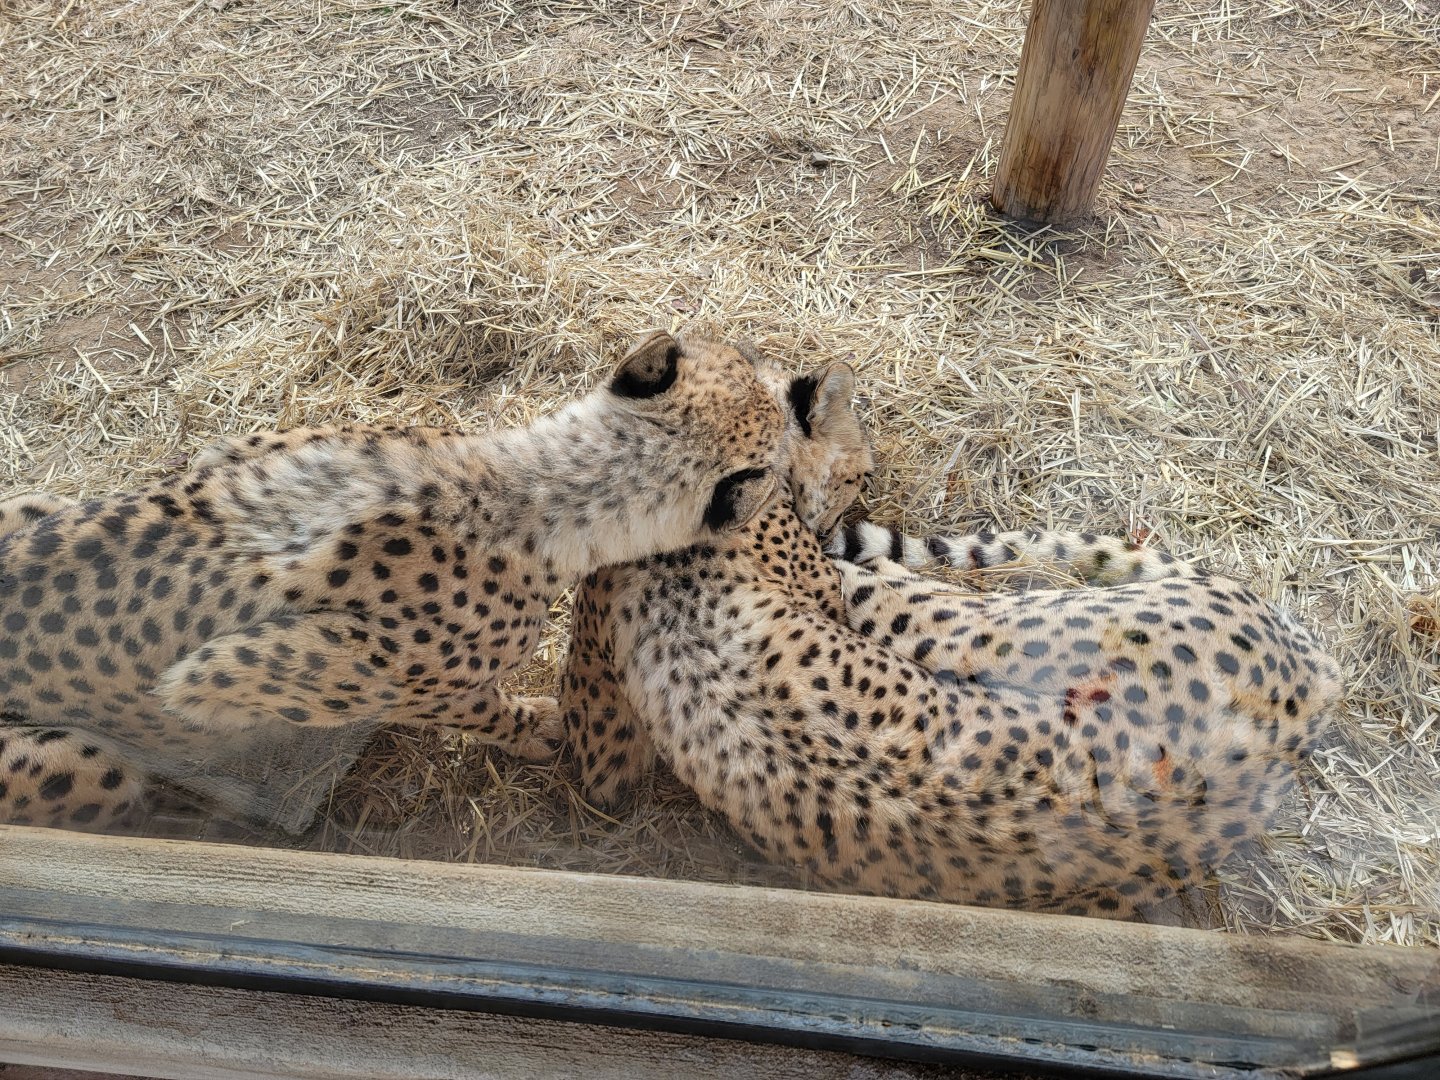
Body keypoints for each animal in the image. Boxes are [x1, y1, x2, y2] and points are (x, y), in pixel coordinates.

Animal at [0, 331, 786, 832]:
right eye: (748, 368)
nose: (779, 372)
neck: (534, 486)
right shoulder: (251, 675)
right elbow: (472, 705)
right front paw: (536, 727)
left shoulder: (232, 454)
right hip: (79, 759)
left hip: (32, 504)